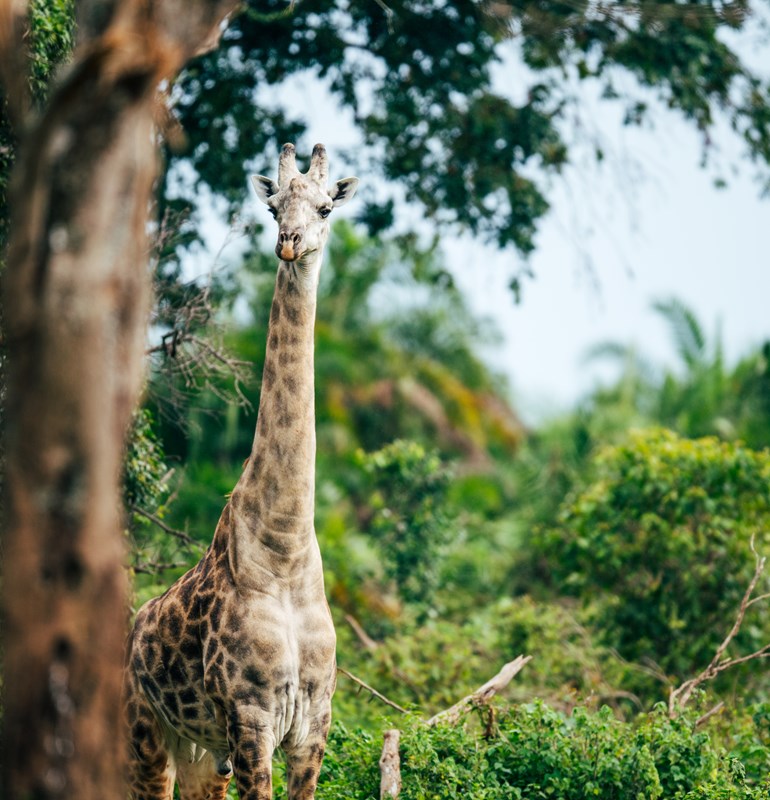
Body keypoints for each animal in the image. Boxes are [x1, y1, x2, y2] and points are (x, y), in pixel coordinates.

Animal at [123, 143, 359, 800]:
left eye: (327, 207)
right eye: (275, 206)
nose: (290, 242)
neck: (285, 549)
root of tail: (133, 628)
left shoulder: (313, 723)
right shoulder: (251, 718)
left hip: (204, 752)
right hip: (146, 732)